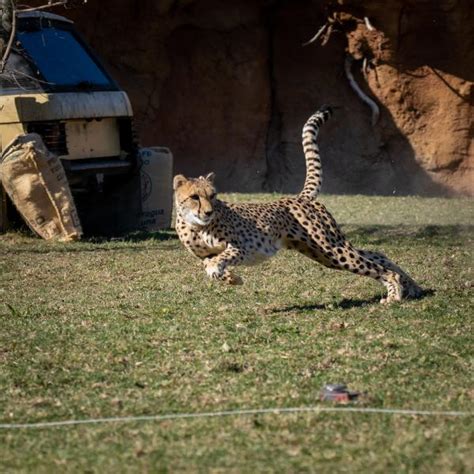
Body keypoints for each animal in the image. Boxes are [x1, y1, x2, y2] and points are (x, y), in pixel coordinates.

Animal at [173, 105, 422, 304]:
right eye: (195, 197)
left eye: (212, 195)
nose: (208, 211)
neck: (195, 225)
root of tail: (299, 198)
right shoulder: (204, 255)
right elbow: (210, 264)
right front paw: (231, 278)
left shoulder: (240, 245)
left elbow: (220, 258)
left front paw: (224, 272)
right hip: (322, 252)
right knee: (377, 253)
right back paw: (412, 288)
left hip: (332, 249)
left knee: (376, 264)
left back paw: (395, 294)